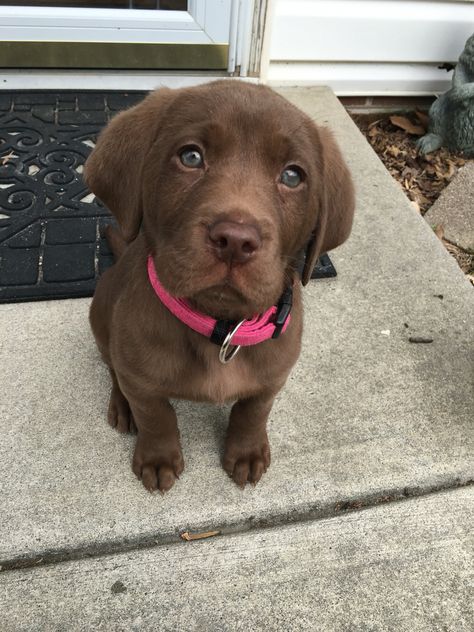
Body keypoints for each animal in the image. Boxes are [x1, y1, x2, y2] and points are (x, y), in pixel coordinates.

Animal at [83, 80, 354, 494]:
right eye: (191, 156)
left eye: (293, 176)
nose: (235, 241)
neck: (222, 325)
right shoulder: (140, 376)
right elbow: (155, 414)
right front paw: (158, 458)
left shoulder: (274, 375)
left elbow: (253, 410)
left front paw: (246, 452)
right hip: (100, 316)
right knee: (112, 366)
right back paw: (121, 405)